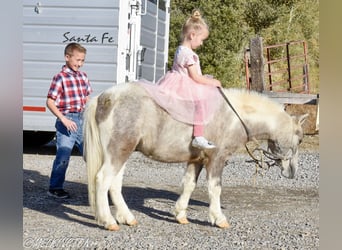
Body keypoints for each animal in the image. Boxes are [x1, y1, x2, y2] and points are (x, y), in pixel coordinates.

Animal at [83, 82, 308, 230]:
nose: (292, 172)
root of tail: (104, 98)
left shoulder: (197, 160)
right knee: (103, 180)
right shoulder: (217, 159)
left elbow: (189, 185)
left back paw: (127, 217)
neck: (234, 116)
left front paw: (180, 214)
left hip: (122, 152)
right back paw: (108, 221)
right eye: (300, 139)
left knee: (114, 184)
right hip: (118, 152)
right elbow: (215, 188)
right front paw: (219, 218)